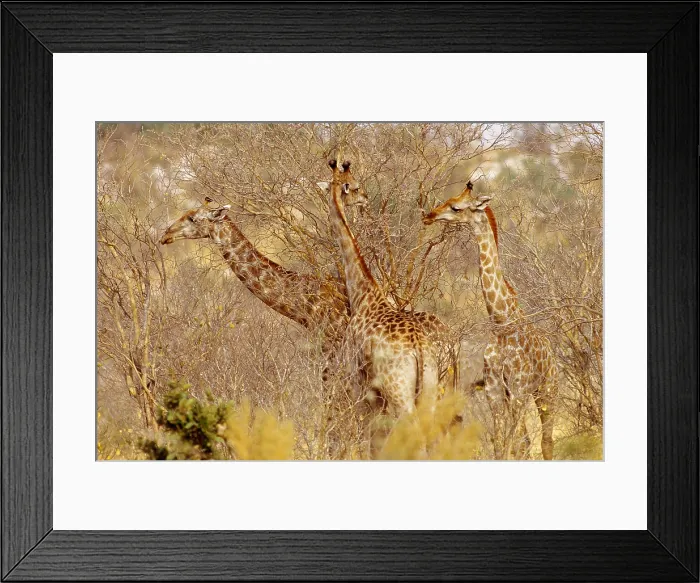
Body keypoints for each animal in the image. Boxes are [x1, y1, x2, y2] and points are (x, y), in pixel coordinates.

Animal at [326, 159, 439, 419]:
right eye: (356, 186)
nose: (365, 198)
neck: (362, 294)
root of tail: (419, 349)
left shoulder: (356, 377)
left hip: (399, 392)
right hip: (428, 389)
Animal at [423, 181, 558, 460]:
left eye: (456, 207)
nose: (429, 215)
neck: (501, 322)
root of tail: (551, 352)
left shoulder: (517, 389)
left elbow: (512, 443)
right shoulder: (494, 391)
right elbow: (502, 444)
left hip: (547, 390)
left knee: (546, 442)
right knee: (527, 441)